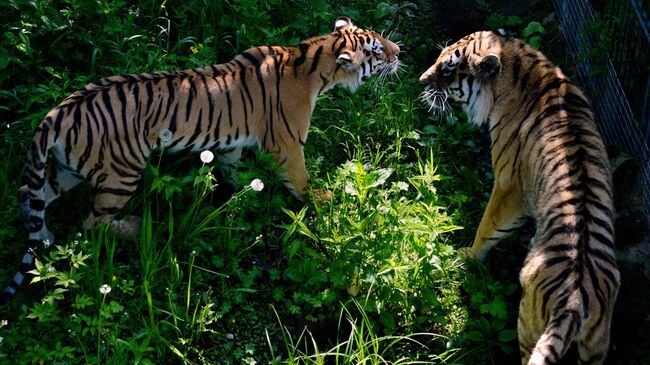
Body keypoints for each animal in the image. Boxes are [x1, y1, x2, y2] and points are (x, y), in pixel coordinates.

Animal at [1, 15, 400, 302]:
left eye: (380, 41)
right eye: (376, 51)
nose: (400, 52)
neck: (313, 59)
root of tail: (57, 114)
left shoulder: (230, 144)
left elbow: (231, 171)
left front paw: (234, 200)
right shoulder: (288, 144)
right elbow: (301, 182)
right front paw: (322, 202)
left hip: (69, 168)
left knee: (28, 193)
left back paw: (45, 237)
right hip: (122, 172)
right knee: (92, 223)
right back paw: (134, 226)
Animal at [418, 32, 620, 364]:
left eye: (447, 69)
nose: (421, 80)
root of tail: (575, 302)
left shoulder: (508, 184)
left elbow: (488, 226)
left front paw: (467, 256)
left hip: (529, 323)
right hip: (597, 344)